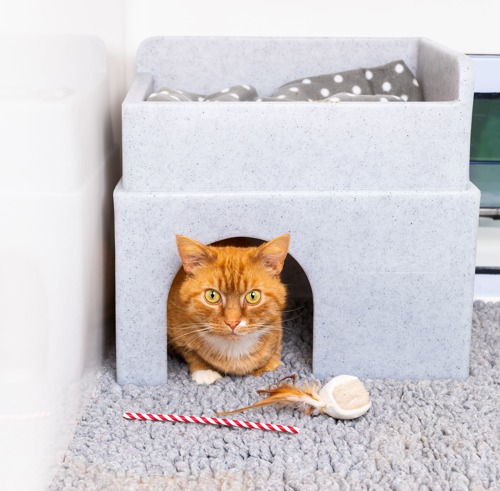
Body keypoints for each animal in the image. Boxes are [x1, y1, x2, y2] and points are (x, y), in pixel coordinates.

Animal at [168, 234, 290, 384]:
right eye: (212, 295)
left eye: (253, 296)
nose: (232, 322)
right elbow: (190, 353)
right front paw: (204, 371)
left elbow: (273, 354)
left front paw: (268, 366)